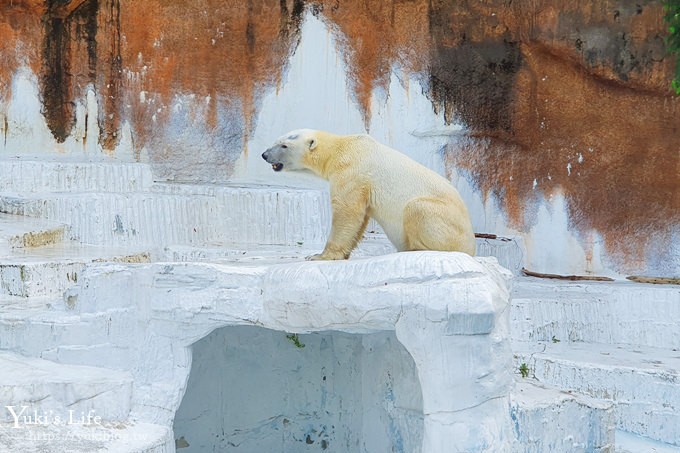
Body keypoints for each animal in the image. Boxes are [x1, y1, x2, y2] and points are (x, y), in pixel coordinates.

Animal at [262, 129, 476, 260]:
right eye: (276, 141)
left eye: (284, 145)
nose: (264, 154)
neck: (340, 148)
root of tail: (472, 247)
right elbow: (360, 218)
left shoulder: (351, 172)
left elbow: (347, 212)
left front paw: (319, 256)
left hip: (450, 226)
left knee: (418, 207)